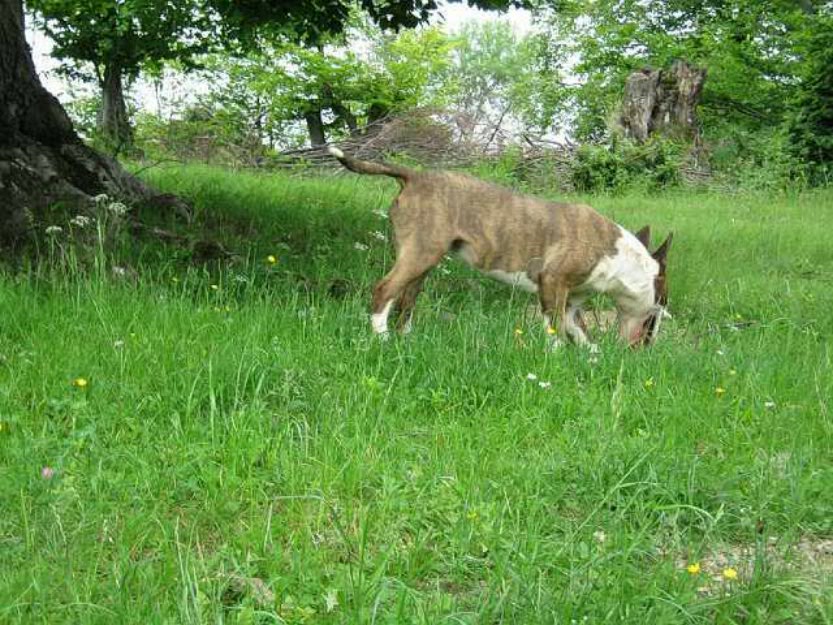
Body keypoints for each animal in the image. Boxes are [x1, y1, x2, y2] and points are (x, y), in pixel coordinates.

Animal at [324, 149, 668, 348]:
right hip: (420, 255)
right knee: (384, 291)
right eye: (660, 305)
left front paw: (593, 359)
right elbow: (555, 332)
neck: (624, 260)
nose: (649, 345)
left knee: (406, 301)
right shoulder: (552, 283)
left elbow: (581, 334)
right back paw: (381, 340)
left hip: (423, 262)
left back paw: (406, 340)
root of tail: (415, 176)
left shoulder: (570, 302)